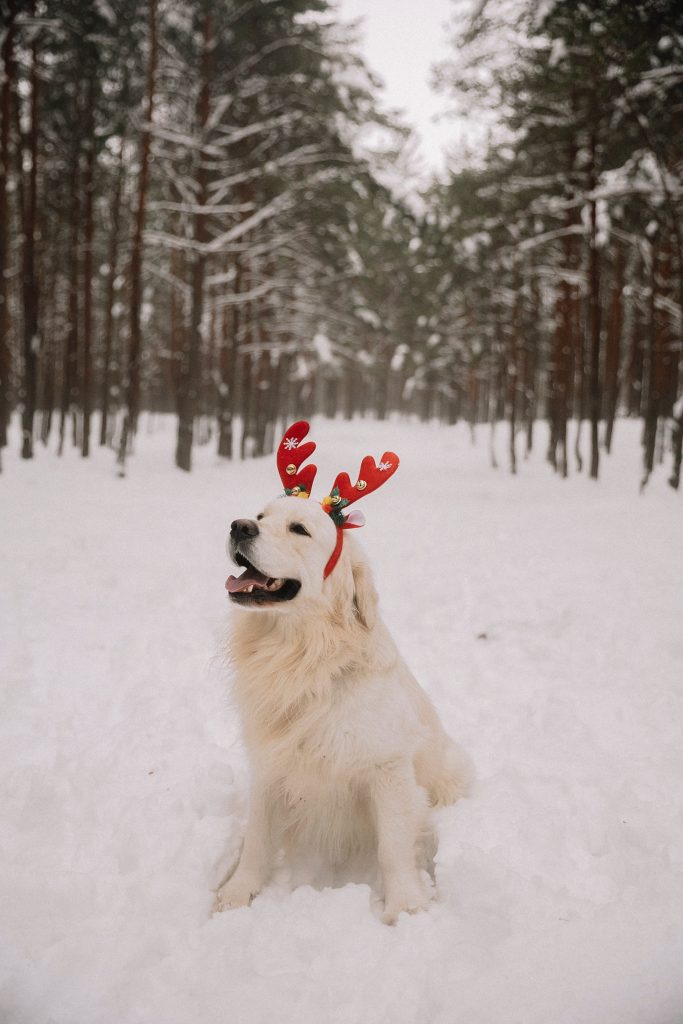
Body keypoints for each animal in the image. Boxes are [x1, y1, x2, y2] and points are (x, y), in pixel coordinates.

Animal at [216, 421, 473, 921]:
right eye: (260, 514)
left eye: (299, 529)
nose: (238, 526)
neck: (304, 655)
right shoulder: (270, 764)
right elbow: (257, 839)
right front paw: (238, 892)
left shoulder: (387, 768)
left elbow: (394, 847)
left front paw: (406, 907)